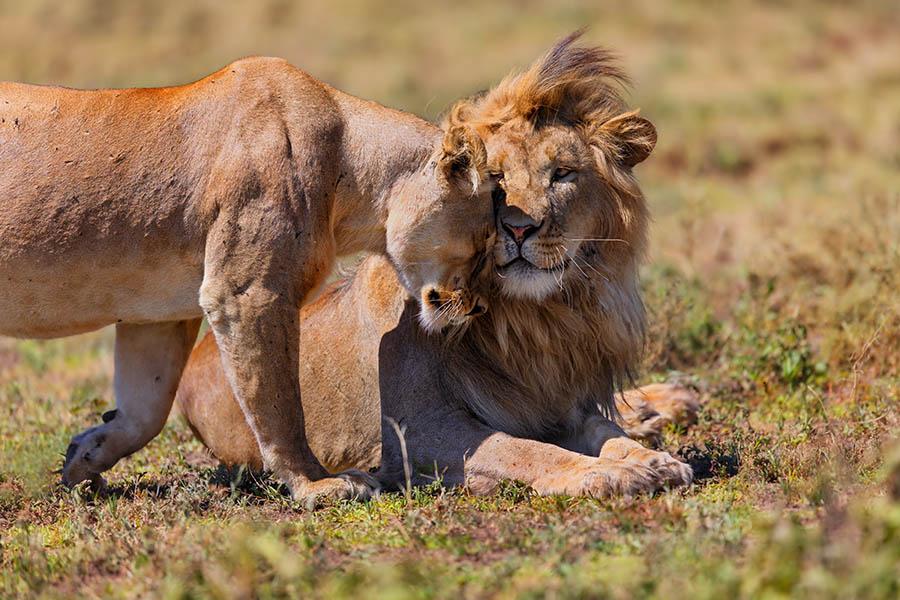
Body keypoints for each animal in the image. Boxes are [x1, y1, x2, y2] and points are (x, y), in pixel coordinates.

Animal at [0, 56, 495, 504]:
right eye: (487, 243)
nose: (478, 307)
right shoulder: (247, 294)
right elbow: (279, 403)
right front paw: (318, 484)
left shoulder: (157, 314)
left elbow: (146, 410)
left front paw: (84, 457)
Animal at [176, 35, 698, 499]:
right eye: (497, 180)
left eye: (563, 174)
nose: (519, 229)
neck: (535, 320)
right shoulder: (416, 431)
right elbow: (524, 450)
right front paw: (606, 474)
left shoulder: (558, 402)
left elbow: (606, 432)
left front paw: (651, 459)